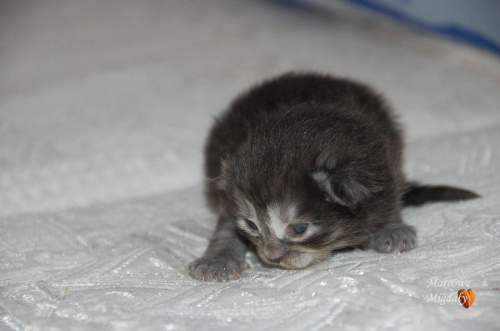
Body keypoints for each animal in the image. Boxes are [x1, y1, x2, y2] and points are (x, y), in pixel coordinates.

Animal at [188, 71, 480, 282]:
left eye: (299, 229)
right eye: (251, 224)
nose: (271, 257)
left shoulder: (385, 163)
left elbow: (390, 197)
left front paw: (391, 227)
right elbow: (226, 223)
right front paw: (219, 258)